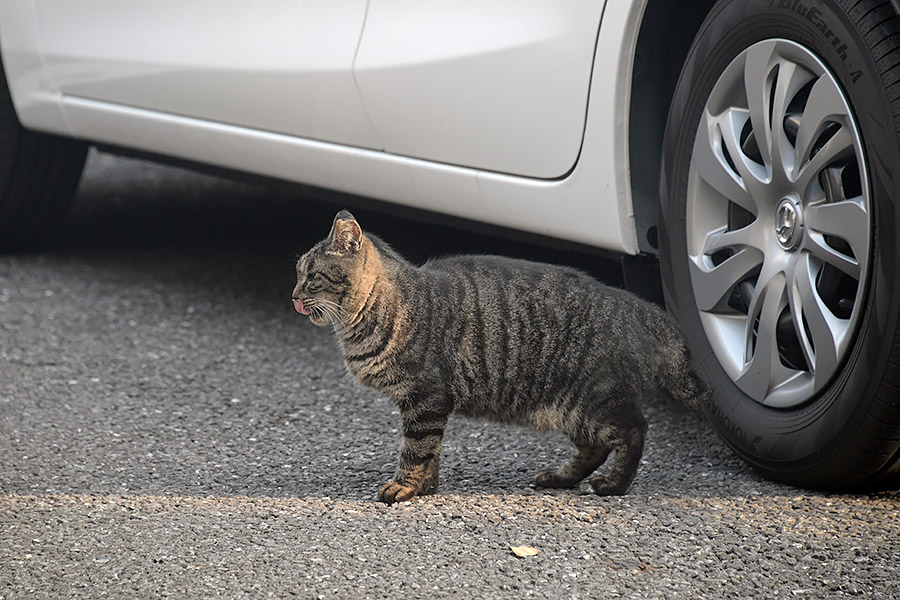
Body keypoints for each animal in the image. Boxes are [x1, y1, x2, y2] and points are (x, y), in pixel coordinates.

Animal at [296, 210, 712, 502]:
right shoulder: (429, 406)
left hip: (596, 399)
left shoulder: (426, 399)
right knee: (594, 447)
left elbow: (416, 449)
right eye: (298, 272)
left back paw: (611, 485)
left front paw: (404, 487)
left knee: (634, 431)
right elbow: (431, 451)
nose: (294, 295)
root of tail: (643, 309)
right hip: (571, 410)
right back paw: (559, 477)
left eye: (311, 276)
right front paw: (426, 487)